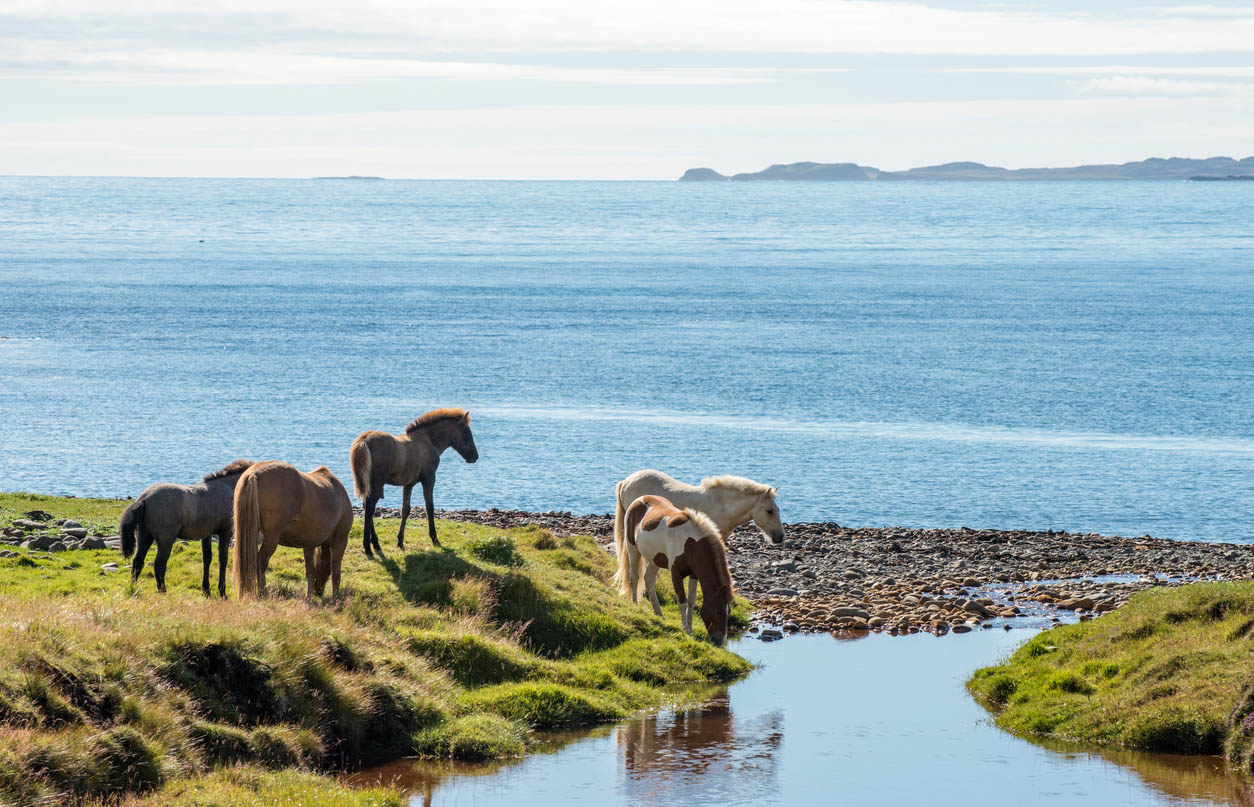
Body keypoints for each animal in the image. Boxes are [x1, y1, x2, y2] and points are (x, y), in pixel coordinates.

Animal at [119, 456, 252, 596]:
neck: (227, 488)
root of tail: (144, 499)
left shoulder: (206, 534)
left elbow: (207, 558)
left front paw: (206, 589)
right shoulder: (225, 532)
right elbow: (223, 558)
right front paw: (222, 592)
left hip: (144, 536)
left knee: (137, 561)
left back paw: (133, 587)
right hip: (166, 540)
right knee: (159, 564)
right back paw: (163, 591)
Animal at [230, 461, 353, 598]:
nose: (318, 592)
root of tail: (253, 474)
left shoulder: (309, 544)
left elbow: (310, 571)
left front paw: (309, 596)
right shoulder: (340, 541)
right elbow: (336, 572)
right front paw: (336, 598)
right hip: (272, 537)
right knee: (261, 561)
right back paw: (263, 592)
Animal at [351, 406, 476, 558]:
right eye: (466, 432)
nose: (475, 456)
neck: (428, 440)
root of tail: (364, 441)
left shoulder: (408, 483)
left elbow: (406, 509)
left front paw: (400, 541)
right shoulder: (429, 478)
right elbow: (429, 507)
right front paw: (435, 539)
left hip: (367, 483)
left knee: (366, 506)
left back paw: (375, 544)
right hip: (377, 483)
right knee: (370, 508)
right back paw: (368, 547)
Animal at [609, 493, 732, 646]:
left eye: (729, 611)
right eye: (718, 612)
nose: (720, 641)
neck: (690, 543)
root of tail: (640, 499)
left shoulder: (694, 575)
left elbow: (691, 601)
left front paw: (690, 627)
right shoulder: (676, 574)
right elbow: (683, 602)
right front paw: (686, 629)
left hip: (655, 559)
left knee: (649, 580)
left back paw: (659, 614)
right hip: (632, 549)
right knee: (634, 578)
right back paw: (635, 604)